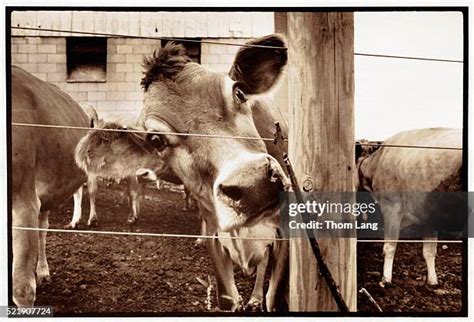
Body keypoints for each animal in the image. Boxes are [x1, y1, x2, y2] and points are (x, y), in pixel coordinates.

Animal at [74, 35, 290, 312]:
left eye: (238, 93)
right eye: (156, 140)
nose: (253, 186)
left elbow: (275, 297)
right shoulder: (215, 236)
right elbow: (227, 299)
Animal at [356, 127, 462, 286]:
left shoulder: (391, 206)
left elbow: (389, 246)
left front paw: (385, 280)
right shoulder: (427, 216)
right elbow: (429, 251)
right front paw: (432, 282)